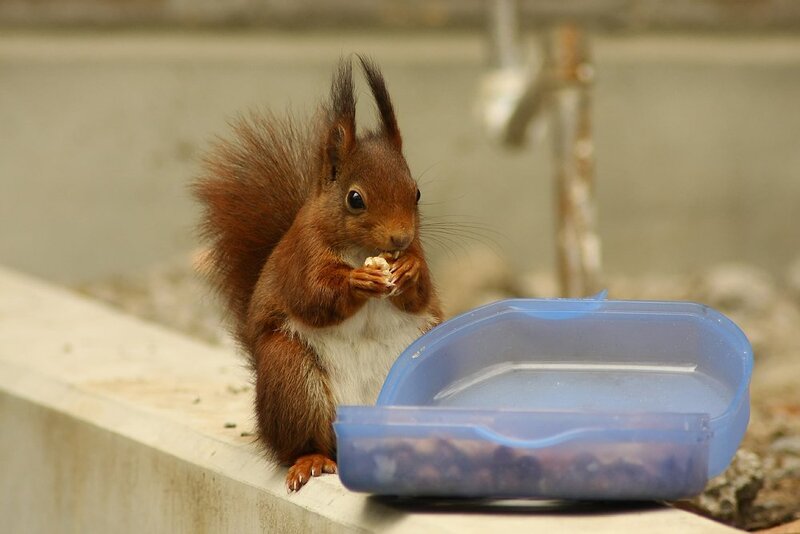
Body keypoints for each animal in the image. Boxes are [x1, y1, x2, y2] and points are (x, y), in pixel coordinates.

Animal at [193, 56, 442, 491]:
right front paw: (358, 281)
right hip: (291, 375)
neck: (360, 251)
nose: (400, 237)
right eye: (355, 199)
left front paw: (409, 270)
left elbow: (422, 293)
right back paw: (310, 459)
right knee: (304, 442)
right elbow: (313, 297)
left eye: (416, 193)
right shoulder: (302, 256)